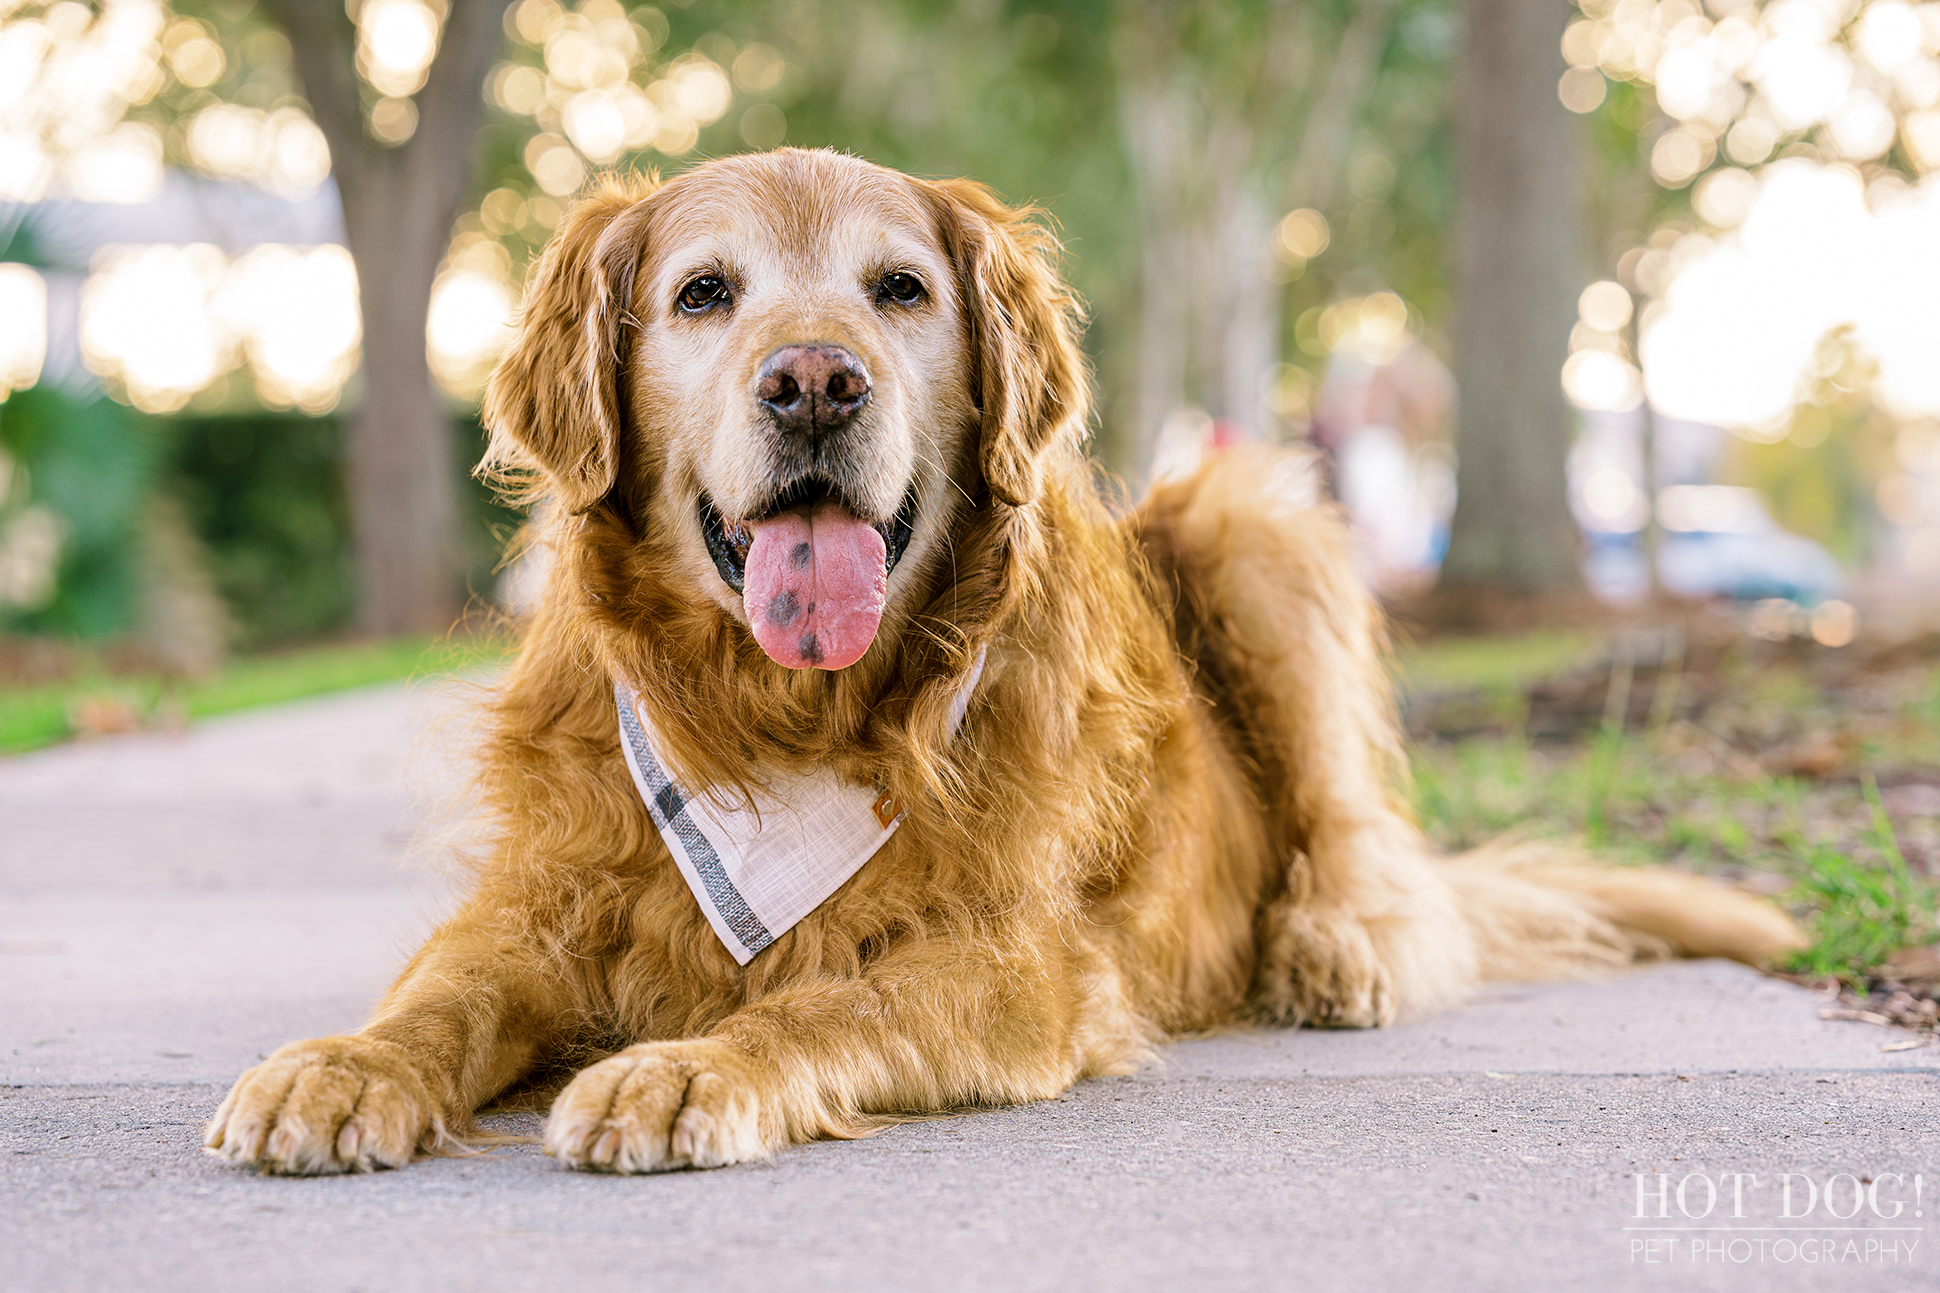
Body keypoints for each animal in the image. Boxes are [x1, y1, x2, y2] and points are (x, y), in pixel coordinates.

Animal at [204, 148, 1792, 1164]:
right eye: (706, 292)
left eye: (899, 289)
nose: (815, 382)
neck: (781, 725)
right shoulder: (543, 903)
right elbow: (442, 994)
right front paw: (337, 1067)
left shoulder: (1022, 962)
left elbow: (824, 996)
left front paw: (688, 1065)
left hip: (1248, 522)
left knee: (1364, 856)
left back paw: (1328, 948)